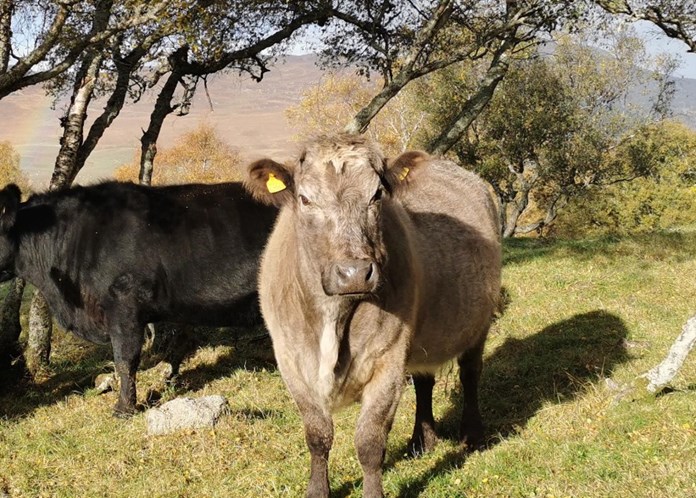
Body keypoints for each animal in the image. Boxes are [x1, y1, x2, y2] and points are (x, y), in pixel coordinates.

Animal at [244, 134, 502, 497]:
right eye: (305, 199)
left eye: (376, 195)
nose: (354, 273)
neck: (333, 319)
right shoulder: (290, 361)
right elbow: (317, 435)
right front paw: (317, 489)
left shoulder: (387, 360)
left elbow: (369, 441)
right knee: (424, 380)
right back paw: (422, 440)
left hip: (478, 322)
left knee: (470, 373)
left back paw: (473, 434)